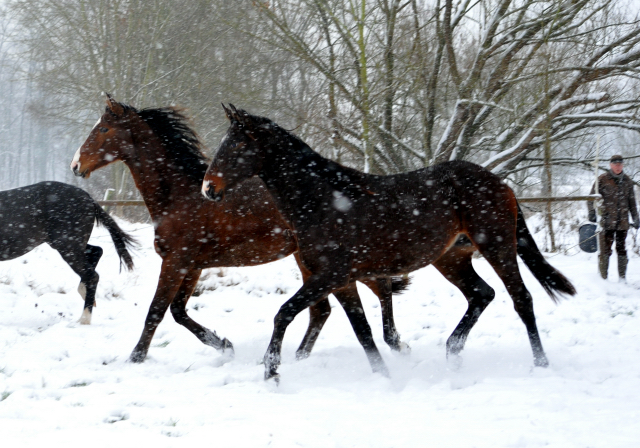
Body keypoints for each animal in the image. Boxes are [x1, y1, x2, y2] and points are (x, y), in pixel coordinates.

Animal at [0, 180, 135, 324]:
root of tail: (89, 198)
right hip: (71, 245)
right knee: (97, 251)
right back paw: (86, 295)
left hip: (68, 246)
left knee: (92, 275)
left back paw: (84, 319)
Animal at [69, 93, 410, 364]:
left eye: (103, 128)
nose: (75, 165)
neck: (180, 197)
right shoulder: (192, 266)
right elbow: (178, 312)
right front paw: (224, 345)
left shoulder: (176, 262)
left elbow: (157, 311)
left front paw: (135, 357)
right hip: (310, 260)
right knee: (324, 309)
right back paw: (301, 356)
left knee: (377, 288)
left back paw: (394, 342)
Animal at [202, 106, 576, 382]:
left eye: (238, 146)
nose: (208, 188)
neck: (322, 200)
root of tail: (500, 184)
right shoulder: (341, 280)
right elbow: (362, 329)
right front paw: (383, 375)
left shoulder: (331, 274)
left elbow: (284, 313)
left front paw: (271, 372)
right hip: (451, 259)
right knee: (481, 294)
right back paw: (452, 353)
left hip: (497, 247)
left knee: (521, 299)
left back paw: (541, 365)